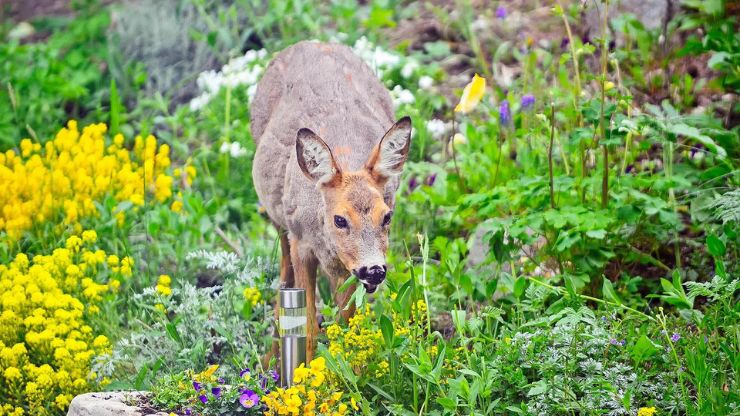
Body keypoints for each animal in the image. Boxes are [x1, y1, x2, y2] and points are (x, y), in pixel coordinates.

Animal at [250, 40, 412, 361]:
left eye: (387, 216)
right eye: (340, 219)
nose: (375, 270)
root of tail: (313, 42)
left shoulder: (347, 269)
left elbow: (348, 325)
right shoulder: (302, 244)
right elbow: (309, 326)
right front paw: (304, 370)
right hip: (280, 221)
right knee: (283, 274)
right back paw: (269, 358)